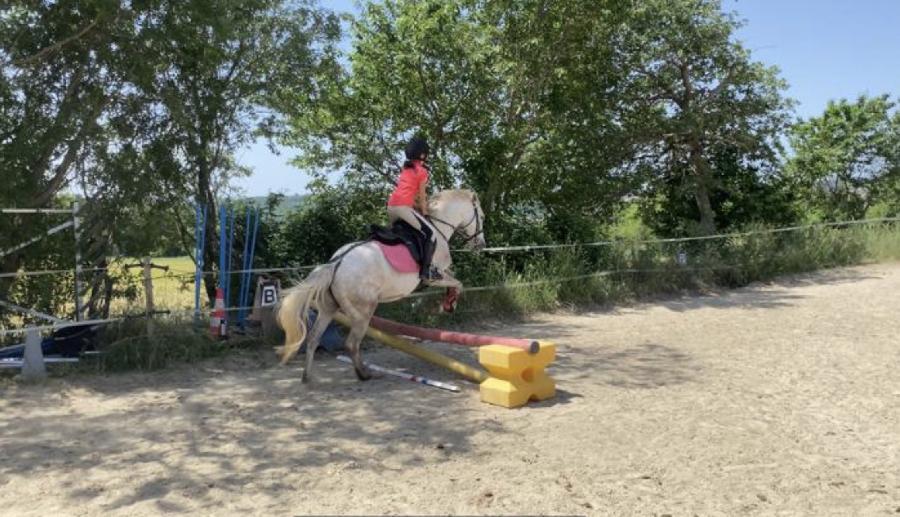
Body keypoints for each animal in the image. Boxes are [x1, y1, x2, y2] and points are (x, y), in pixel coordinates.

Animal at [276, 187, 486, 380]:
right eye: (482, 217)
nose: (481, 244)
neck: (438, 228)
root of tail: (336, 263)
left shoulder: (441, 275)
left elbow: (455, 279)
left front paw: (449, 301)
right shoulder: (435, 276)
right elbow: (458, 282)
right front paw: (450, 304)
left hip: (329, 308)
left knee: (313, 339)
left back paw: (307, 376)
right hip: (363, 311)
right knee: (351, 343)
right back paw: (364, 374)